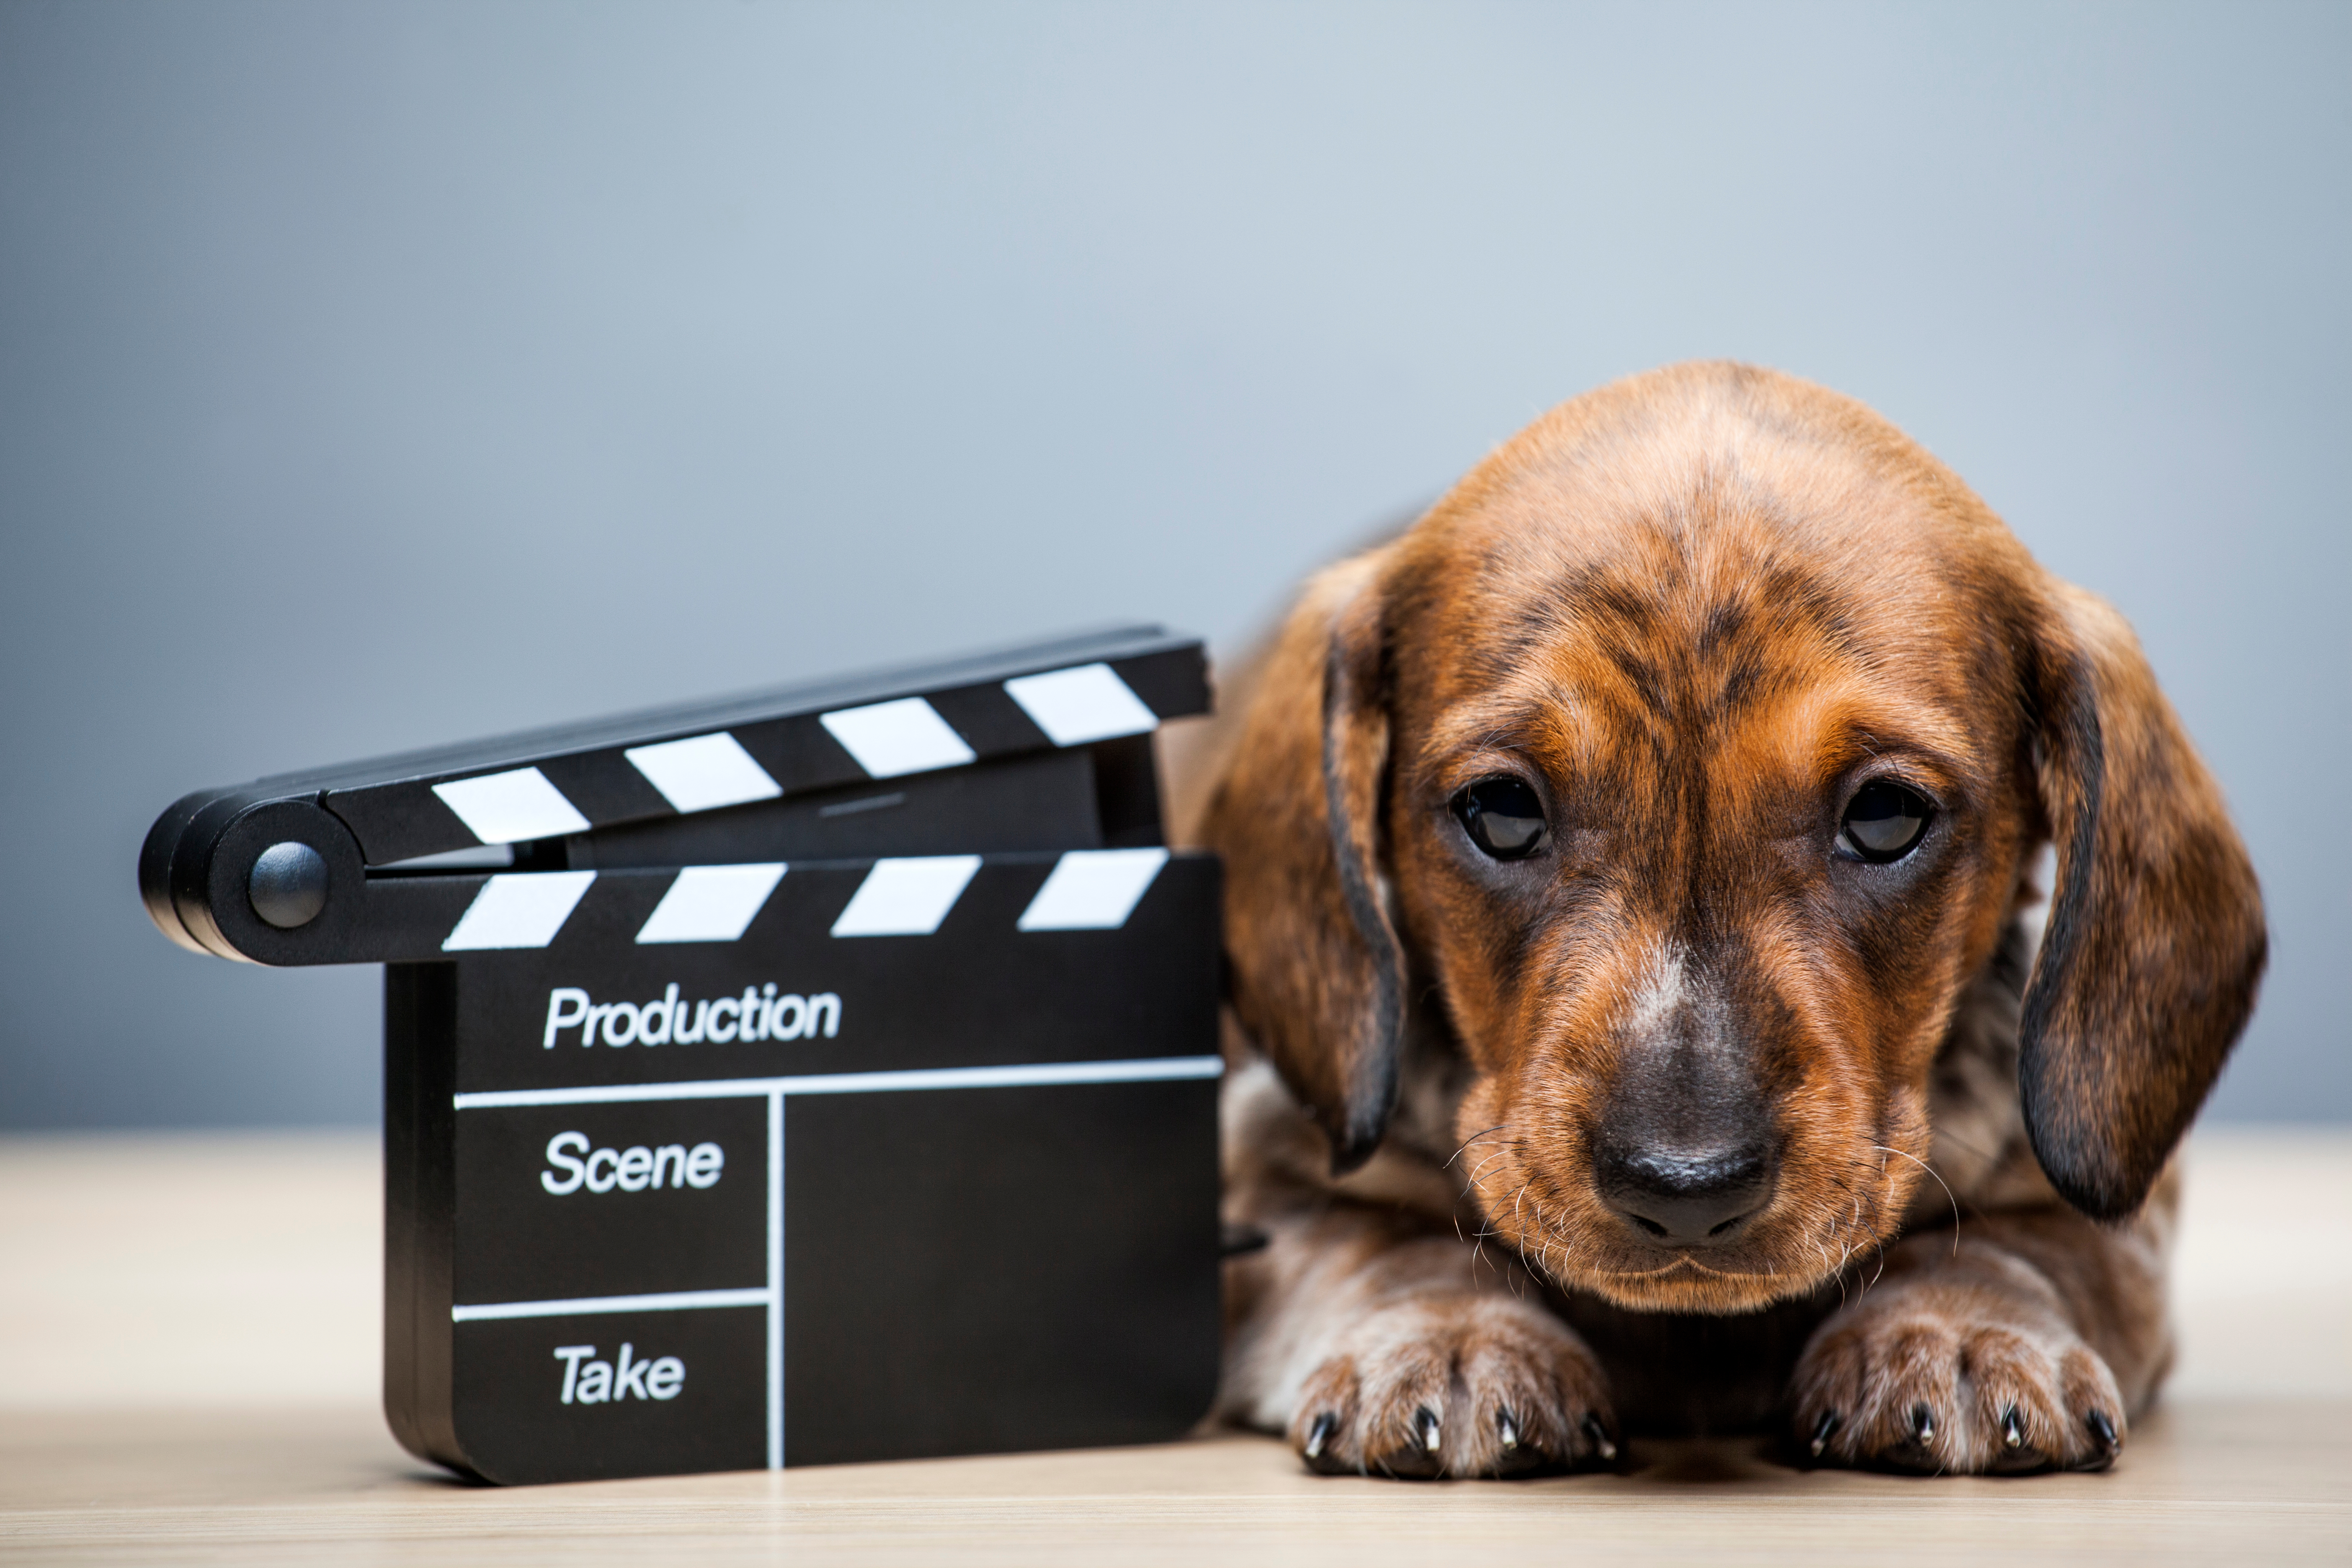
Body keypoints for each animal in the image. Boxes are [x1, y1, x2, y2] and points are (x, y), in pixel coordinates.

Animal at [1185, 362, 2267, 1476]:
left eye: (1886, 815)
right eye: (1502, 810)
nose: (1684, 1187)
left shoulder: (2105, 1208)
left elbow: (2025, 1243)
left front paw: (1960, 1326)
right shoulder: (1262, 1188)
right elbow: (1384, 1241)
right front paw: (1451, 1332)